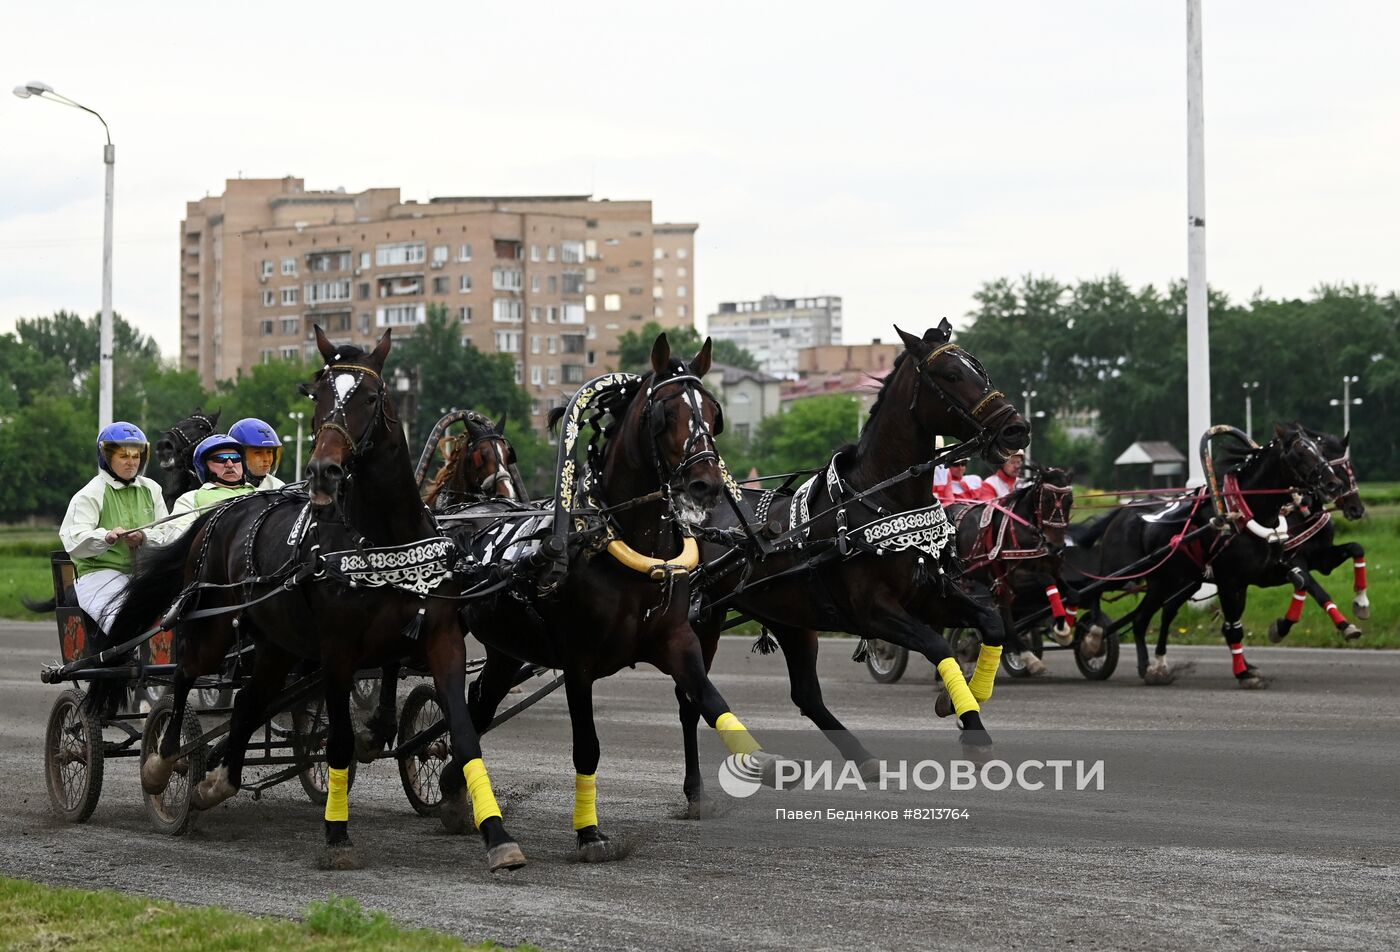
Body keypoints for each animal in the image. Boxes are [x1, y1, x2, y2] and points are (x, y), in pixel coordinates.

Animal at [100, 330, 526, 873]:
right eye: (317, 394)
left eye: (371, 397)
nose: (324, 469)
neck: (384, 538)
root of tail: (224, 512)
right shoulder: (338, 650)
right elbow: (340, 740)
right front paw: (338, 833)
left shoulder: (439, 637)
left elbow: (465, 730)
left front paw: (497, 835)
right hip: (212, 626)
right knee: (182, 679)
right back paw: (164, 761)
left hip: (275, 644)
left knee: (250, 701)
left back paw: (219, 778)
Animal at [456, 333, 772, 862]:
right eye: (666, 414)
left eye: (713, 412)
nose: (705, 484)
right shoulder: (578, 659)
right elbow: (587, 745)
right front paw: (589, 832)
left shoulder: (678, 640)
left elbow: (708, 700)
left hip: (504, 648)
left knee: (478, 703)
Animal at [680, 323, 1030, 812]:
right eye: (950, 374)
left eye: (980, 367)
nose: (1016, 427)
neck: (877, 497)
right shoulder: (874, 611)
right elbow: (938, 646)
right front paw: (972, 728)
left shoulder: (930, 594)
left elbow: (991, 623)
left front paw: (962, 699)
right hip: (704, 619)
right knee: (691, 698)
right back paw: (695, 790)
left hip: (791, 621)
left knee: (807, 696)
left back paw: (863, 760)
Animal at [1064, 422, 1338, 683]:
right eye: (1301, 452)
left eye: (1319, 448)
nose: (1332, 483)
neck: (1240, 514)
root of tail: (1121, 513)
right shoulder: (1229, 580)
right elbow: (1234, 627)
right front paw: (1244, 673)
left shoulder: (1257, 575)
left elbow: (1299, 581)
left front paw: (1276, 632)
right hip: (1122, 572)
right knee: (1091, 593)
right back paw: (1090, 636)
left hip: (1166, 581)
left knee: (1141, 619)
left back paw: (1148, 667)